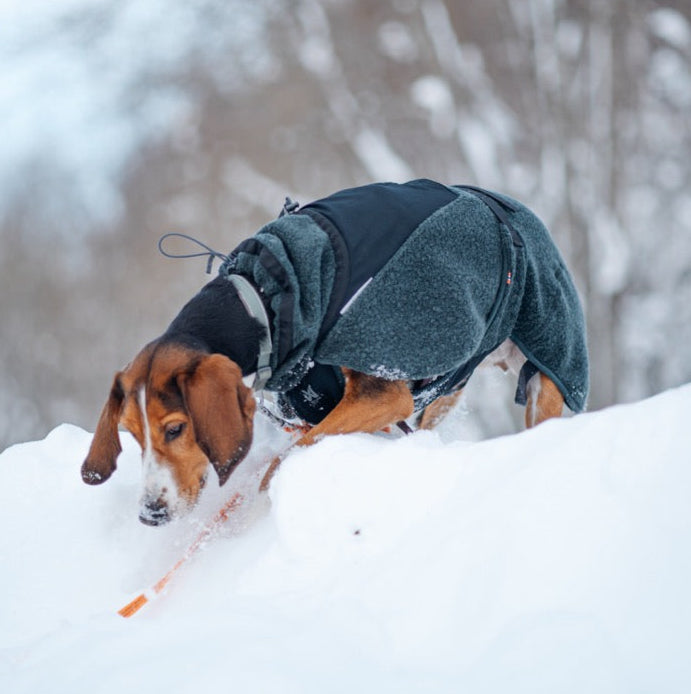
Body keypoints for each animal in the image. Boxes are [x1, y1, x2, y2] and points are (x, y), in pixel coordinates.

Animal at [82, 181, 588, 528]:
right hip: (445, 391)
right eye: (131, 434)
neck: (262, 302)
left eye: (175, 429)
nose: (150, 514)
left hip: (550, 367)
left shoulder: (382, 396)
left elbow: (281, 462)